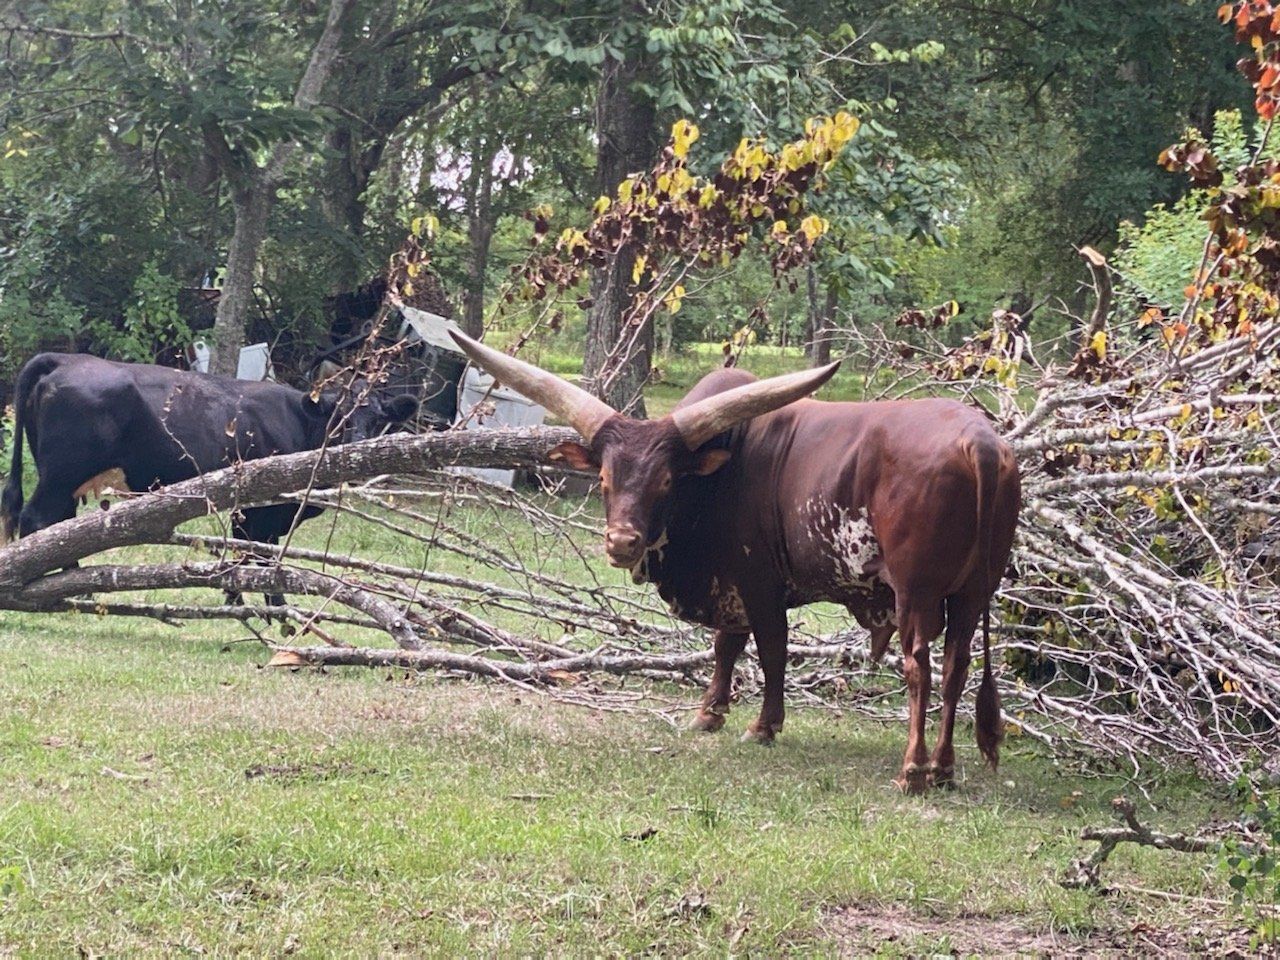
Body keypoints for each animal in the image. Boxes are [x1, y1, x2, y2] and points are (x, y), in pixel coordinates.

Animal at [1, 353, 419, 603]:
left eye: (379, 419)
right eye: (338, 417)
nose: (356, 446)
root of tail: (66, 358)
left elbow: (247, 552)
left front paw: (236, 598)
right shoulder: (262, 508)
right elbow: (260, 556)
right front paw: (272, 605)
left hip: (64, 478)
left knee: (61, 526)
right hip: (61, 473)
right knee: (39, 520)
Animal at [449, 331, 1020, 794]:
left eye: (666, 480)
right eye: (606, 479)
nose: (622, 542)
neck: (721, 468)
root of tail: (979, 442)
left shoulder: (759, 583)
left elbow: (770, 650)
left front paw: (763, 725)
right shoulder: (729, 584)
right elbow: (726, 645)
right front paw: (710, 714)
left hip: (915, 592)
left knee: (919, 666)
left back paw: (913, 770)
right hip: (974, 591)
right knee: (956, 665)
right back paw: (943, 768)